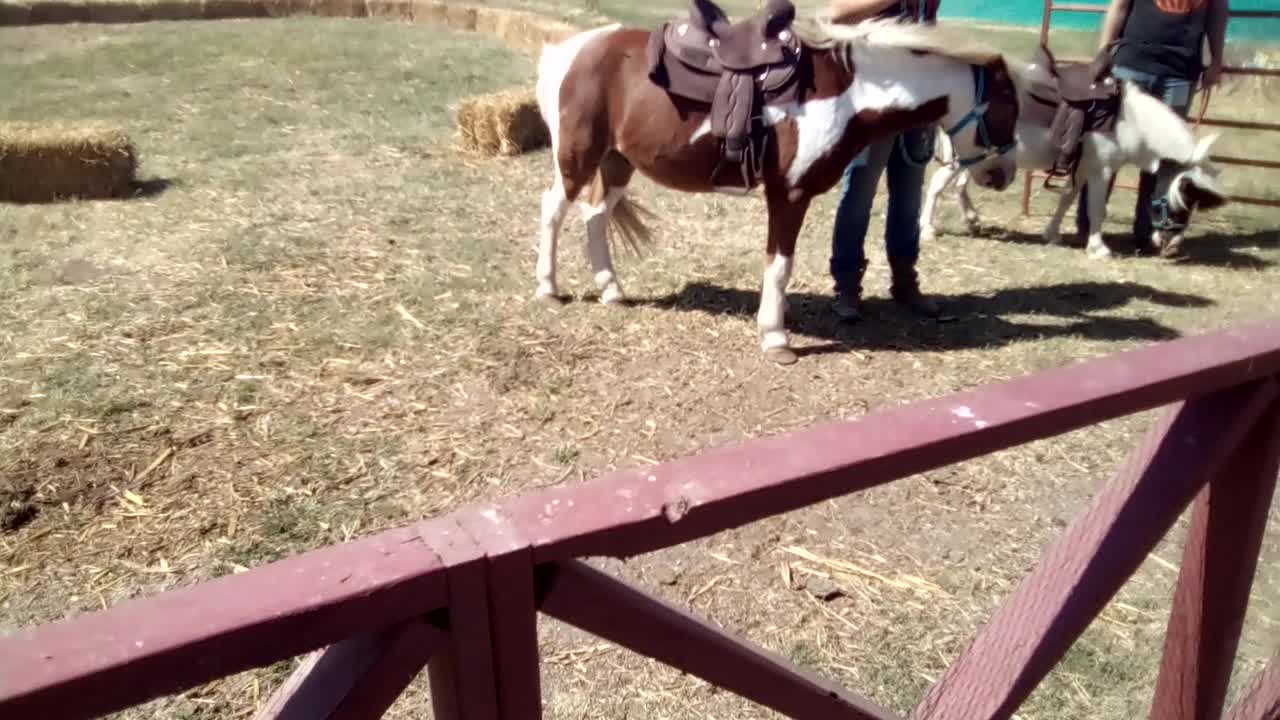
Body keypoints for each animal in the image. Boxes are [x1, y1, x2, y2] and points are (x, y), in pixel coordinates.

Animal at [535, 15, 1024, 363]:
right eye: (1008, 106)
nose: (1004, 174)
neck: (847, 93)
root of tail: (571, 49)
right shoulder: (789, 194)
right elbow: (780, 264)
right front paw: (775, 335)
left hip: (618, 162)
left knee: (595, 215)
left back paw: (611, 290)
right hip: (577, 157)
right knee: (553, 210)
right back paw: (549, 288)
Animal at [921, 45, 1228, 257]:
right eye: (1184, 200)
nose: (1170, 246)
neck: (1129, 120)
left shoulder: (1082, 167)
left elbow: (1067, 198)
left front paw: (1052, 234)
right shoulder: (1102, 170)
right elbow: (1096, 208)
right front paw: (1098, 248)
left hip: (975, 159)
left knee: (959, 185)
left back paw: (972, 220)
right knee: (937, 185)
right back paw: (927, 229)